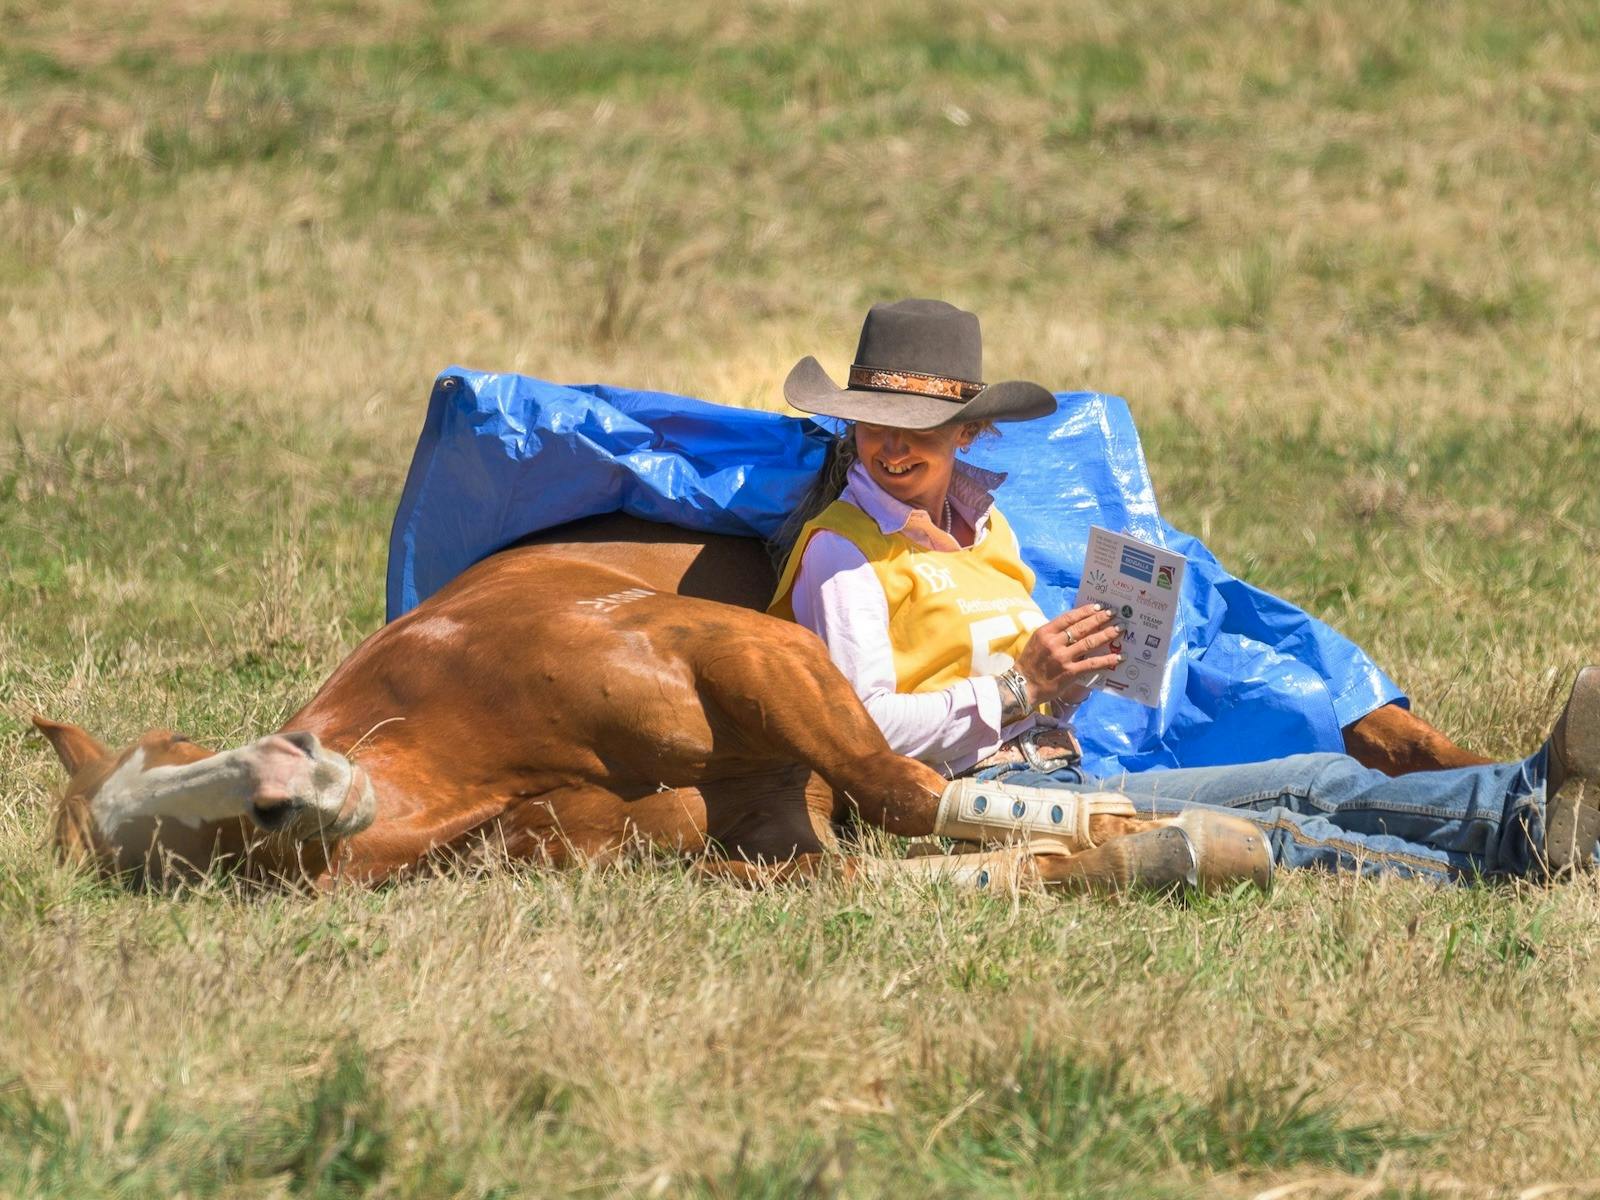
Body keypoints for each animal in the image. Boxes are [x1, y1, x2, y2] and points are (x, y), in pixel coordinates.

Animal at [32, 514, 1483, 893]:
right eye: (235, 843)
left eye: (185, 752)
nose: (297, 775)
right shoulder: (761, 834)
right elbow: (881, 859)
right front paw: (1147, 846)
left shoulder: (730, 646)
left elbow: (910, 788)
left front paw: (1111, 823)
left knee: (1359, 711)